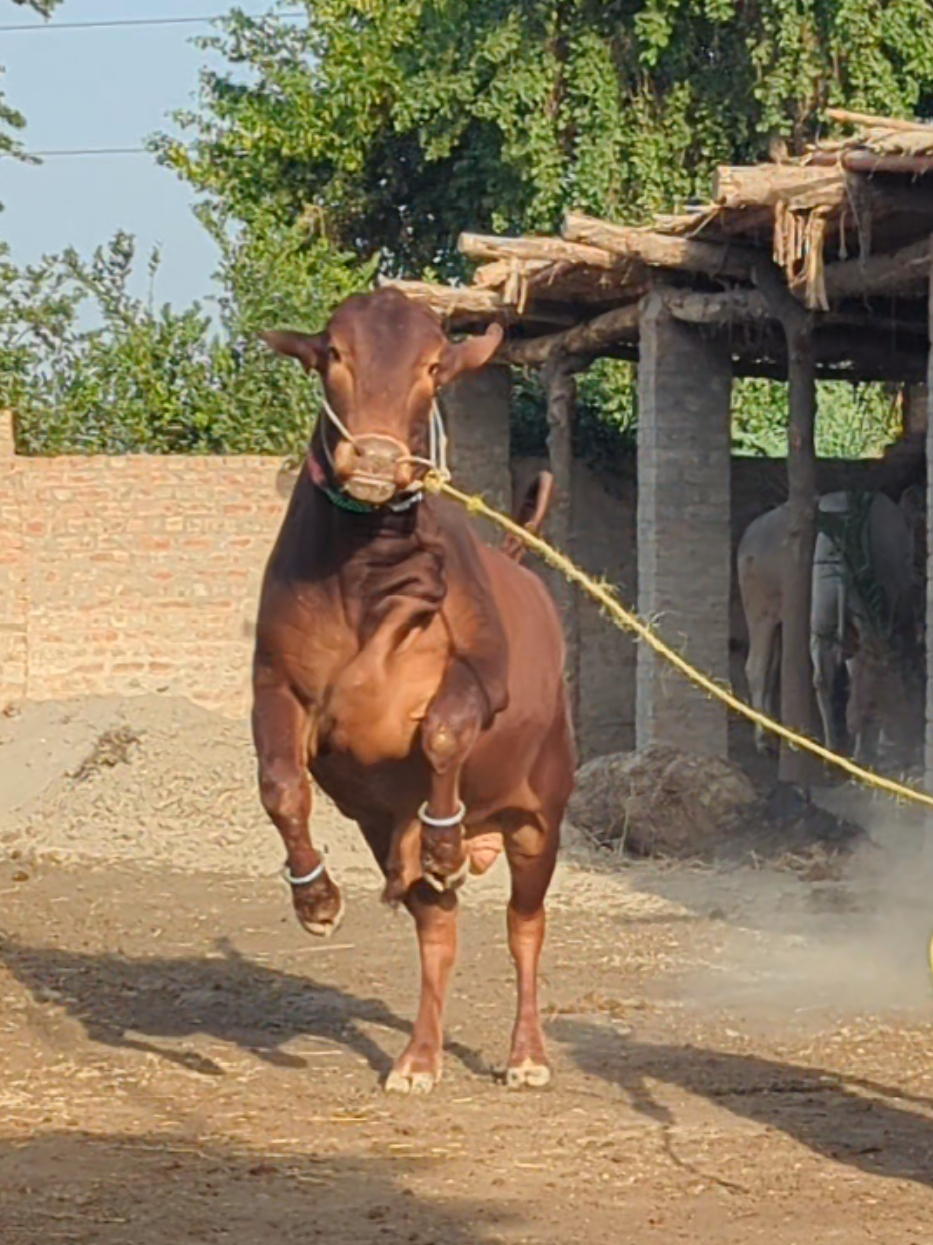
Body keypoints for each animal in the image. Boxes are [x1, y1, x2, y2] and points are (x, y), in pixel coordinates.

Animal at [253, 289, 575, 1094]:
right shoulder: (275, 680)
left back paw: (526, 1052)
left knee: (525, 926)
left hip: (541, 815)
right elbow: (280, 783)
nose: (372, 458)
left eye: (433, 367)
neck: (363, 577)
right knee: (439, 929)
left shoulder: (481, 673)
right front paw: (315, 897)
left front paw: (443, 837)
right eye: (335, 354)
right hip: (382, 829)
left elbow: (444, 727)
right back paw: (418, 1058)